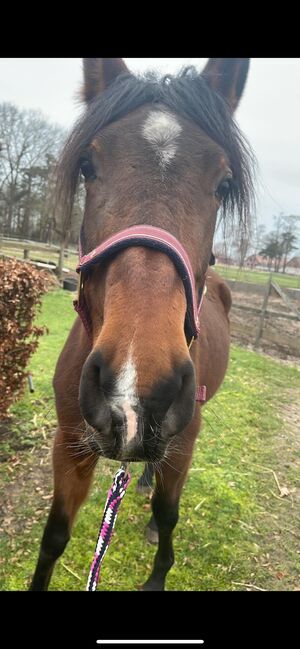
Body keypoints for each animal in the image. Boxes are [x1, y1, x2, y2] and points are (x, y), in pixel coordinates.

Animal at [29, 58, 253, 588]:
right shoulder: (70, 444)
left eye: (223, 184)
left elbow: (169, 514)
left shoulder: (185, 439)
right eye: (88, 166)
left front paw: (156, 573)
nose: (136, 395)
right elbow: (54, 536)